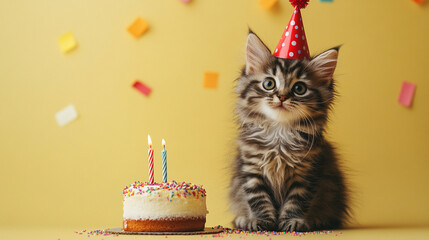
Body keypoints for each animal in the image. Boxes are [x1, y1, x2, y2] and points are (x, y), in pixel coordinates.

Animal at [229, 31, 350, 232]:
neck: (279, 133)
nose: (282, 96)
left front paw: (293, 221)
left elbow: (297, 200)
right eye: (269, 83)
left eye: (299, 88)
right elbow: (258, 198)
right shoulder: (252, 169)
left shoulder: (306, 172)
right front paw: (261, 220)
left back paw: (317, 220)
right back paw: (242, 219)